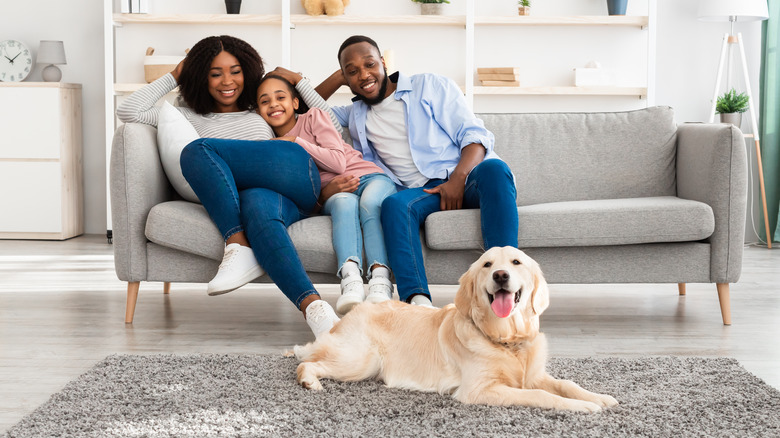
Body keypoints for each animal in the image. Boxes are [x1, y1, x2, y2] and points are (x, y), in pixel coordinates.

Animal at [294, 248, 620, 412]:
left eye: (516, 262)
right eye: (487, 265)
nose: (501, 275)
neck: (506, 339)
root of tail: (348, 316)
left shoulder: (534, 375)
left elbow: (566, 384)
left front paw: (598, 397)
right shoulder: (479, 390)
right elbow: (541, 396)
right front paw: (582, 407)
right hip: (362, 360)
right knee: (306, 363)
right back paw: (310, 382)